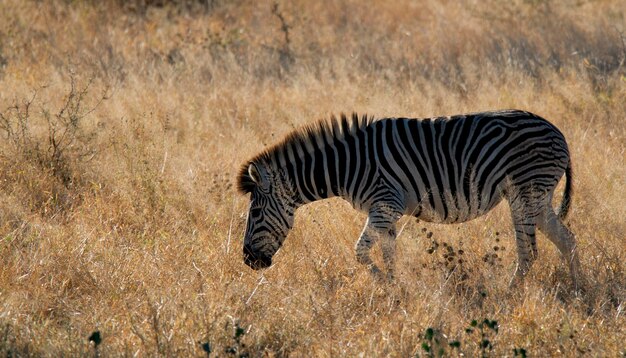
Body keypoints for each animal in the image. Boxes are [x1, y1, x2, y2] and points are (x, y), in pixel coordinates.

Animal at [235, 109, 580, 288]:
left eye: (255, 214)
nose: (248, 261)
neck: (347, 165)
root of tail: (558, 132)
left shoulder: (385, 205)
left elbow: (360, 251)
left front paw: (384, 284)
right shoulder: (385, 211)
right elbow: (389, 254)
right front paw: (395, 290)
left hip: (525, 192)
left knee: (530, 252)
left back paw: (508, 294)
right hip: (538, 198)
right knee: (567, 239)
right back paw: (578, 288)